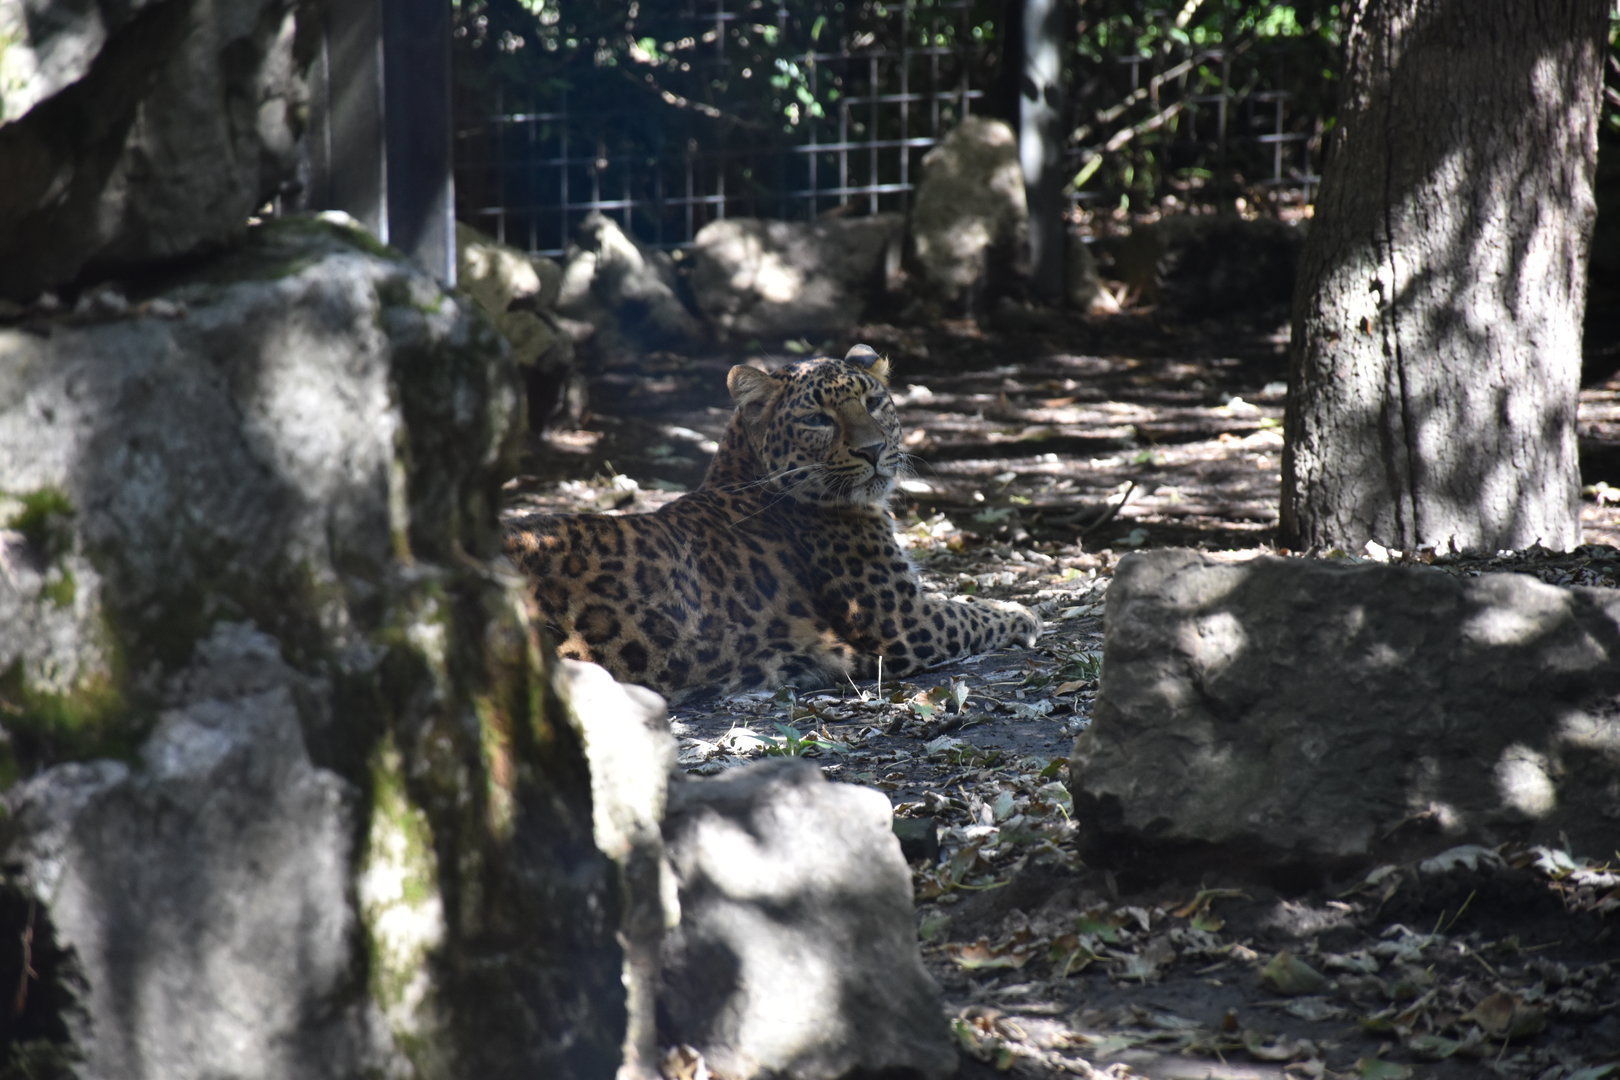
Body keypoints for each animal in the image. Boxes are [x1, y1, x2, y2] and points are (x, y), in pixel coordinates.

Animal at [504, 344, 1041, 703]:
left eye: (873, 402)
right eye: (818, 419)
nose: (873, 451)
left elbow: (964, 602)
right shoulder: (904, 622)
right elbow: (972, 614)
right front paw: (1024, 614)